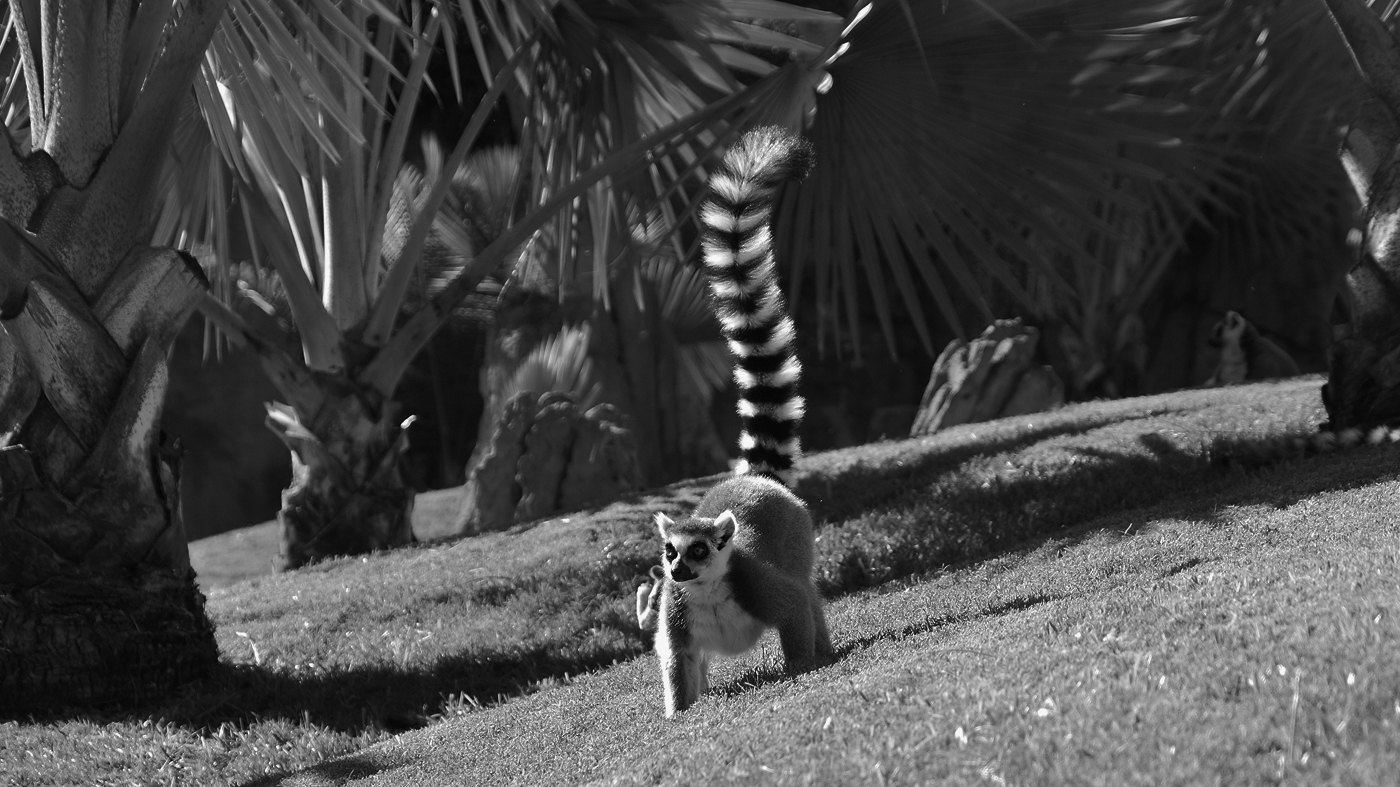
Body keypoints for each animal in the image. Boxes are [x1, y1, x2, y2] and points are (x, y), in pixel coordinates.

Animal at [638, 127, 832, 718]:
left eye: (698, 551)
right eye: (670, 552)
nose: (676, 571)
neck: (704, 592)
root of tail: (755, 479)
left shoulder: (758, 583)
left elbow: (794, 606)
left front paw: (804, 669)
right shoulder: (676, 615)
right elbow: (675, 661)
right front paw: (678, 716)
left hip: (798, 538)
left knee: (808, 590)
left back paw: (827, 647)